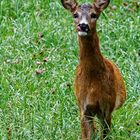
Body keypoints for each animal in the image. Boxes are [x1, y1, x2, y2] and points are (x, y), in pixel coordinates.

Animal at [60, 0, 126, 139]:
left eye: (94, 14)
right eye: (75, 14)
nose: (83, 26)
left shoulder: (107, 106)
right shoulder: (83, 107)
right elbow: (87, 136)